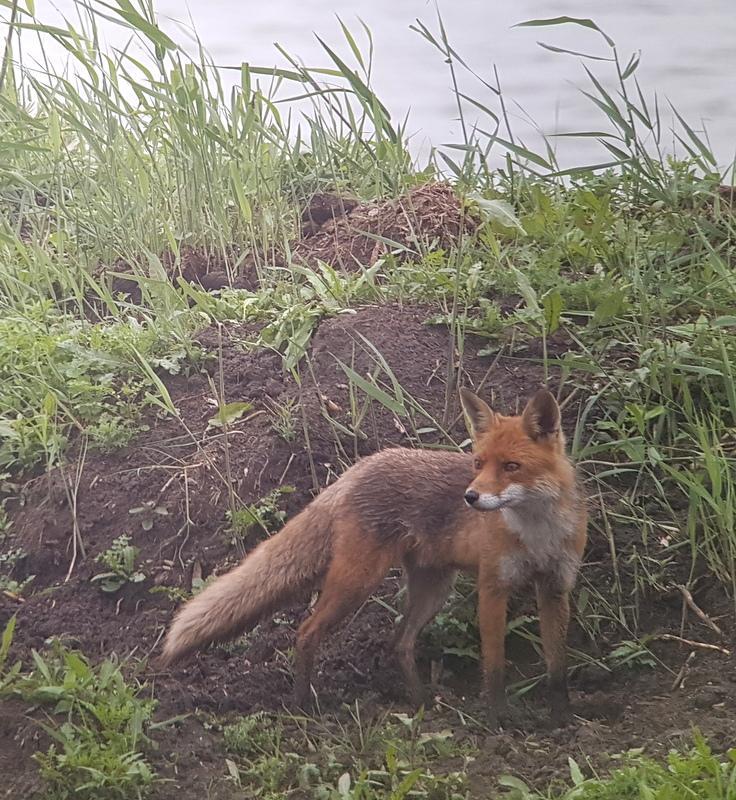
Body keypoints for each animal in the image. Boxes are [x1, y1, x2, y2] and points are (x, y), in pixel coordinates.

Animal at [160, 386, 588, 724]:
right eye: (478, 464)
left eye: (512, 466)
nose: (469, 496)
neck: (536, 534)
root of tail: (358, 467)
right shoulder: (493, 587)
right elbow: (495, 665)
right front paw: (498, 720)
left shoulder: (555, 587)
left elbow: (558, 666)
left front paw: (562, 719)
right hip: (358, 581)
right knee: (307, 632)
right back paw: (303, 706)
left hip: (433, 589)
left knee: (400, 642)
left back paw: (420, 703)